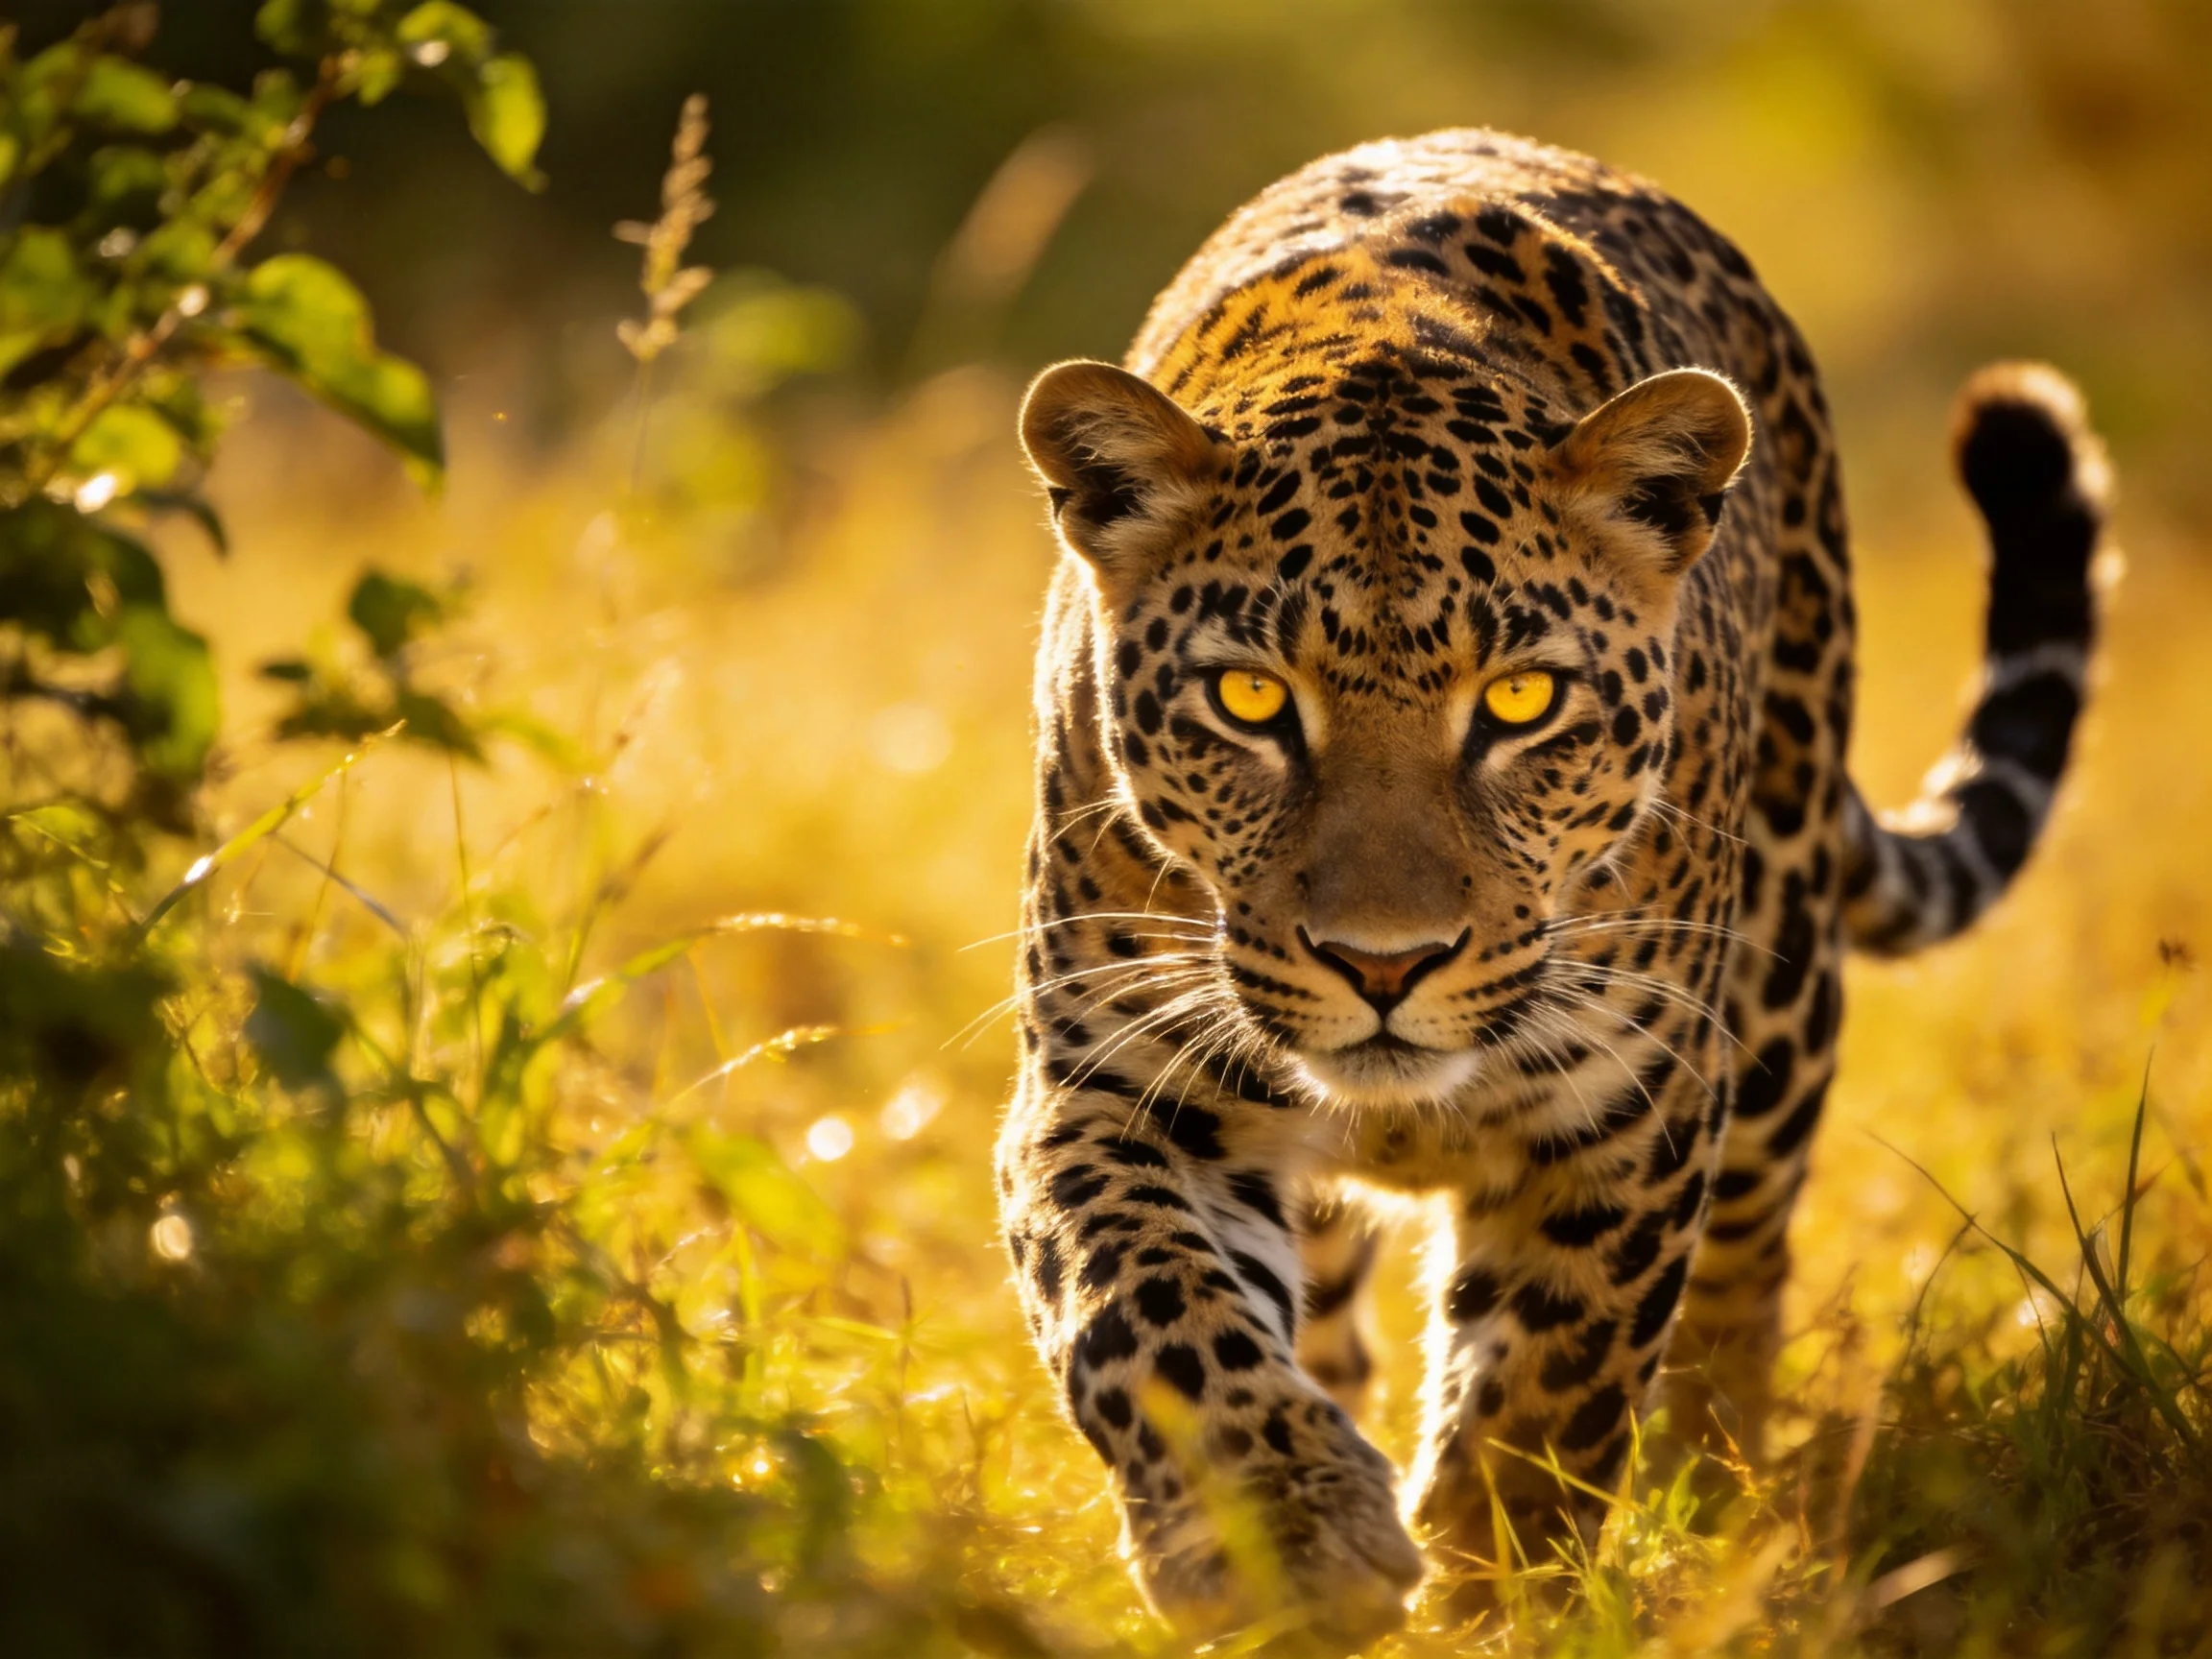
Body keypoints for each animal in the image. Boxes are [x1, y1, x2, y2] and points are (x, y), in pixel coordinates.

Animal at [994, 127, 2108, 1646]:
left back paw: (1726, 1508)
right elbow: (1151, 1310)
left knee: (1741, 1285)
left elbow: (1547, 1396)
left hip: (1777, 997)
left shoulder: (1626, 1113)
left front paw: (1503, 1600)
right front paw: (1285, 1538)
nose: (1383, 964)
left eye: (1521, 701)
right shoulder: (1115, 1083)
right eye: (1249, 699)